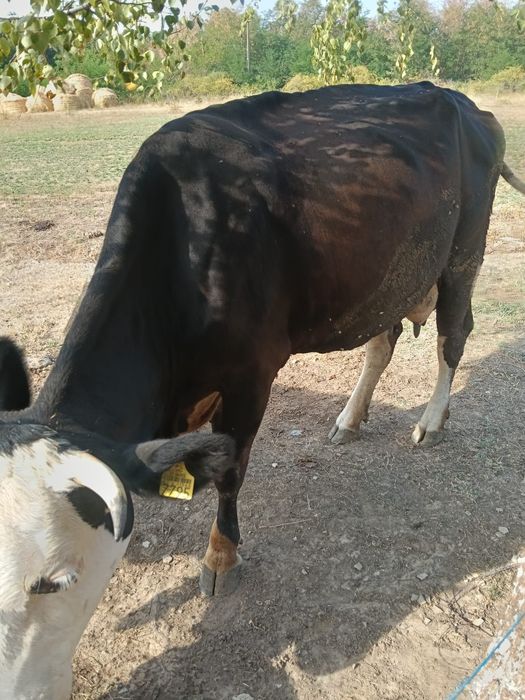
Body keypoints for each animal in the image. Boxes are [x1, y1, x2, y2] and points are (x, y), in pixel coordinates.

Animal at [1, 82, 524, 699]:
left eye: (54, 583)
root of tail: (460, 101)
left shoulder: (251, 374)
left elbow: (229, 472)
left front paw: (221, 559)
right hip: (388, 276)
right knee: (385, 339)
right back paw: (350, 418)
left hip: (464, 252)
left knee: (454, 333)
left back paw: (432, 421)